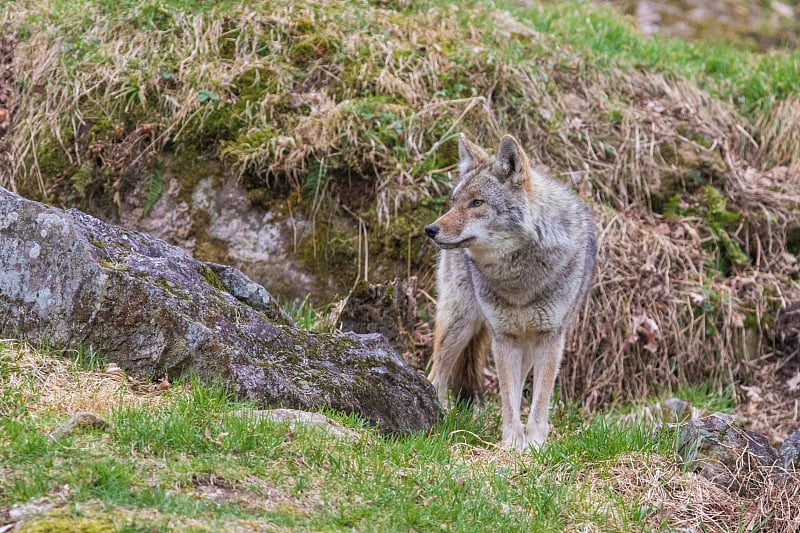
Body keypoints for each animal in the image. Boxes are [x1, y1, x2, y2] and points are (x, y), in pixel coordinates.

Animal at [424, 132, 592, 448]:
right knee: (437, 374)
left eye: (477, 202)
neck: (519, 279)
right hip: (460, 323)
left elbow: (538, 399)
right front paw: (513, 443)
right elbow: (508, 398)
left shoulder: (550, 338)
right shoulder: (503, 338)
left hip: (522, 345)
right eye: (454, 202)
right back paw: (434, 416)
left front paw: (534, 442)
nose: (430, 229)